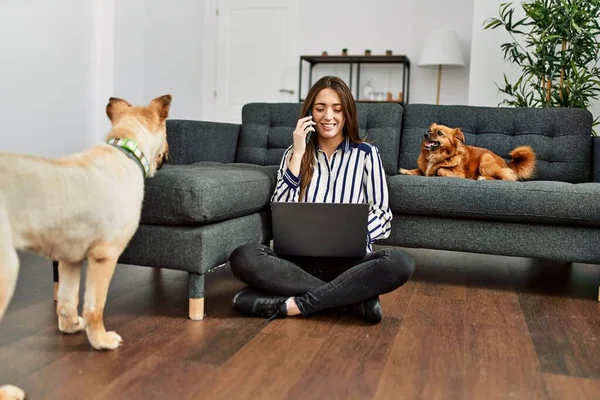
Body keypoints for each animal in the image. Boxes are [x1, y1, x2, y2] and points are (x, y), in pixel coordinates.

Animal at [0, 94, 173, 400]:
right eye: (167, 135)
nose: (172, 152)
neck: (125, 149)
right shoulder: (105, 256)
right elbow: (95, 306)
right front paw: (101, 340)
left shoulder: (69, 257)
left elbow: (67, 300)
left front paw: (70, 327)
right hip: (6, 271)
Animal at [398, 122, 536, 180]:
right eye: (429, 130)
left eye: (440, 133)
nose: (425, 134)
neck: (437, 155)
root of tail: (508, 164)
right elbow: (419, 170)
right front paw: (407, 171)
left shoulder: (460, 174)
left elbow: (441, 169)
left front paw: (439, 173)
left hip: (486, 160)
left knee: (505, 177)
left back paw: (483, 178)